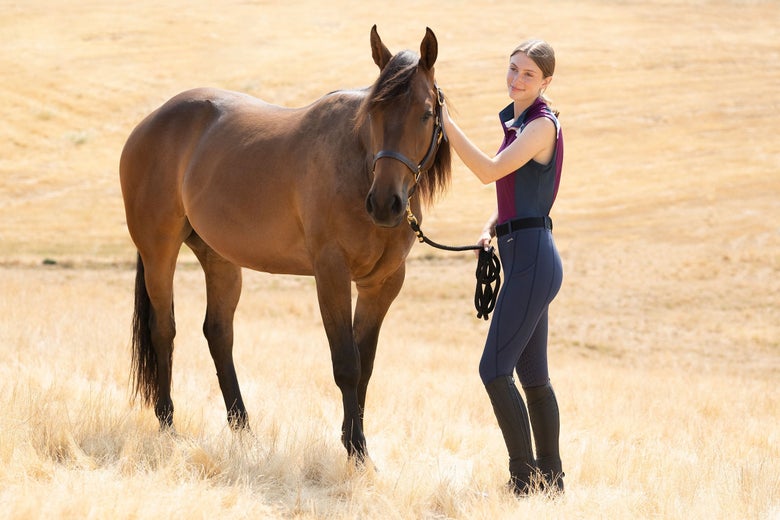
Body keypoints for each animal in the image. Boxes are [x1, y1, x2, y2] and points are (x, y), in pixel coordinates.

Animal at [119, 25, 451, 460]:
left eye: (426, 114)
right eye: (373, 114)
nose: (385, 204)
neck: (356, 166)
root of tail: (149, 124)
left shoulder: (383, 284)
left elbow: (365, 364)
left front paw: (354, 441)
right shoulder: (330, 274)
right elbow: (347, 363)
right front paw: (356, 449)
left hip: (220, 258)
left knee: (219, 333)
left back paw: (243, 429)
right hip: (159, 250)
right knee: (163, 330)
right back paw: (168, 423)